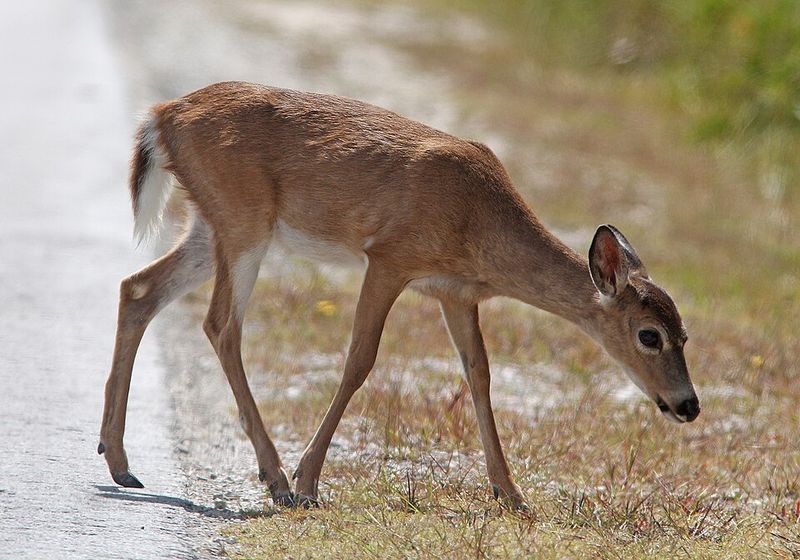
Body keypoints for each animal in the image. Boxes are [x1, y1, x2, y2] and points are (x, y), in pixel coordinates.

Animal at [99, 81, 700, 509]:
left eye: (686, 333)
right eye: (650, 335)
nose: (688, 405)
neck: (480, 221)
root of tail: (162, 117)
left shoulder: (455, 292)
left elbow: (479, 374)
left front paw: (511, 494)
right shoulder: (390, 257)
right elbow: (360, 360)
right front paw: (309, 482)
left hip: (212, 225)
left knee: (139, 288)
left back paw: (120, 461)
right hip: (245, 220)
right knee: (220, 323)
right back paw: (276, 479)